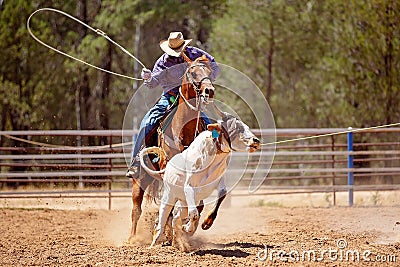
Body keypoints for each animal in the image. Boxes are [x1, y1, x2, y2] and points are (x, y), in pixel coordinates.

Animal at [148, 113, 260, 251]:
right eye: (237, 128)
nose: (256, 140)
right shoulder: (189, 187)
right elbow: (194, 213)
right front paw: (189, 228)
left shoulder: (218, 183)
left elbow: (221, 195)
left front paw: (206, 223)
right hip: (169, 197)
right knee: (163, 219)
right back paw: (154, 244)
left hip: (183, 203)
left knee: (176, 218)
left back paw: (177, 242)